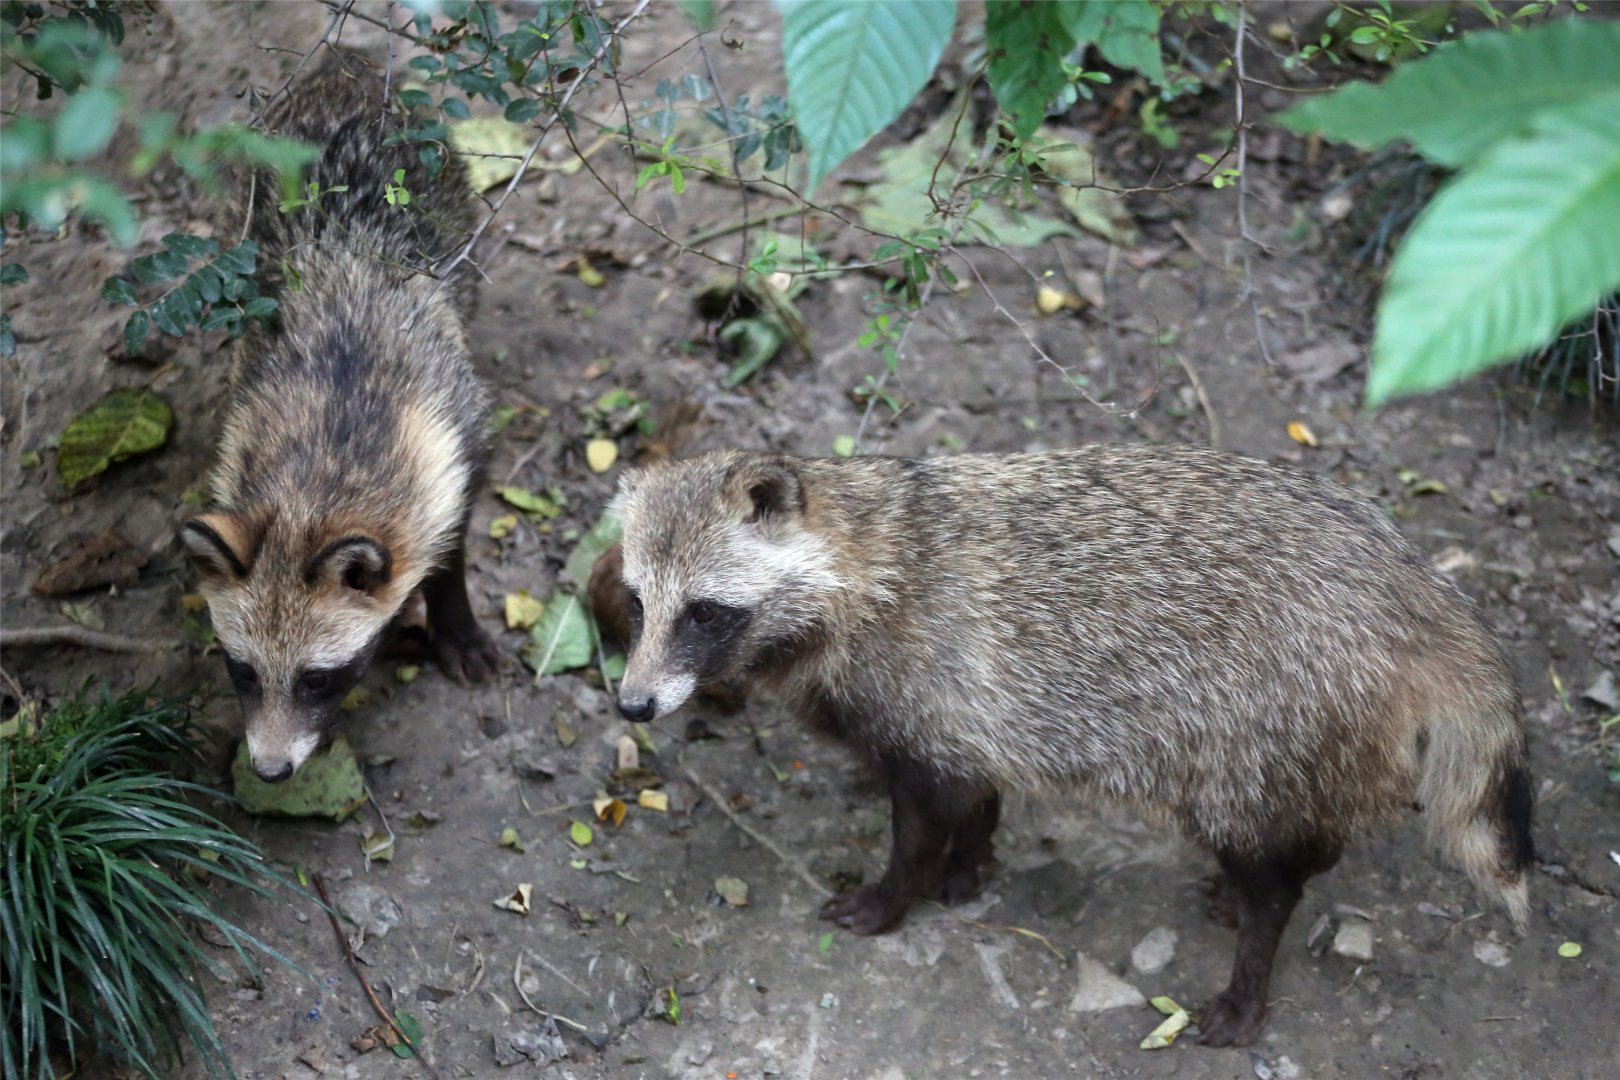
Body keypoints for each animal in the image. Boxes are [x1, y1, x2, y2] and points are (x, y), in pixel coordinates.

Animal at [182, 51, 498, 783]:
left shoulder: (458, 429)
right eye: (243, 671)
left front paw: (454, 619)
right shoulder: (246, 416)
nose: (269, 771)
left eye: (317, 679)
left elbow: (452, 541)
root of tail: (344, 60)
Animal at [611, 445, 1533, 1047]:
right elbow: (980, 797)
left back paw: (1250, 966)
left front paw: (890, 896)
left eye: (703, 612)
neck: (868, 562)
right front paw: (971, 864)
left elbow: (921, 825)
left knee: (1270, 874)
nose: (633, 703)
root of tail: (1418, 591)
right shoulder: (974, 712)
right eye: (636, 603)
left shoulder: (927, 687)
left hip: (1258, 731)